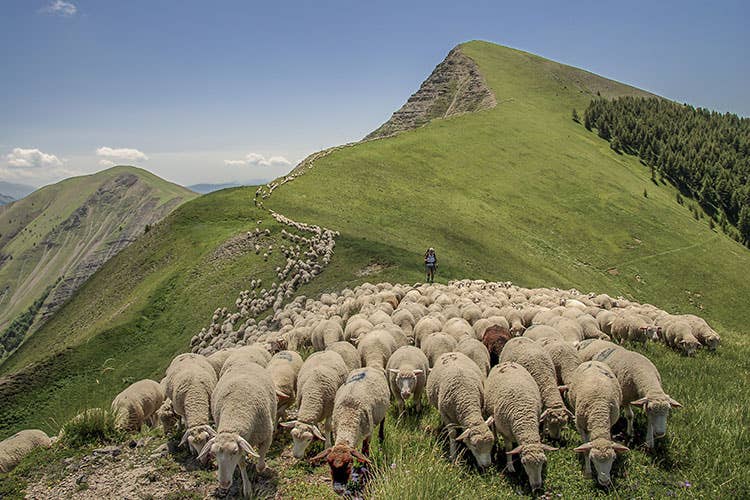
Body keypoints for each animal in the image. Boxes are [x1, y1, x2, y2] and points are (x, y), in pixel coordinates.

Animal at [200, 360, 280, 496]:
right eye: (213, 453)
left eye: (234, 451)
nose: (224, 484)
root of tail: (244, 361)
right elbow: (241, 464)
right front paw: (247, 489)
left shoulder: (266, 438)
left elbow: (260, 464)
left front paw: (263, 470)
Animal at [312, 368, 394, 496]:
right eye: (329, 463)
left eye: (349, 463)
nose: (338, 489)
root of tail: (369, 367)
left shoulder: (368, 433)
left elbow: (365, 452)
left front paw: (364, 470)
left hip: (383, 411)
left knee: (383, 421)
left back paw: (381, 437)